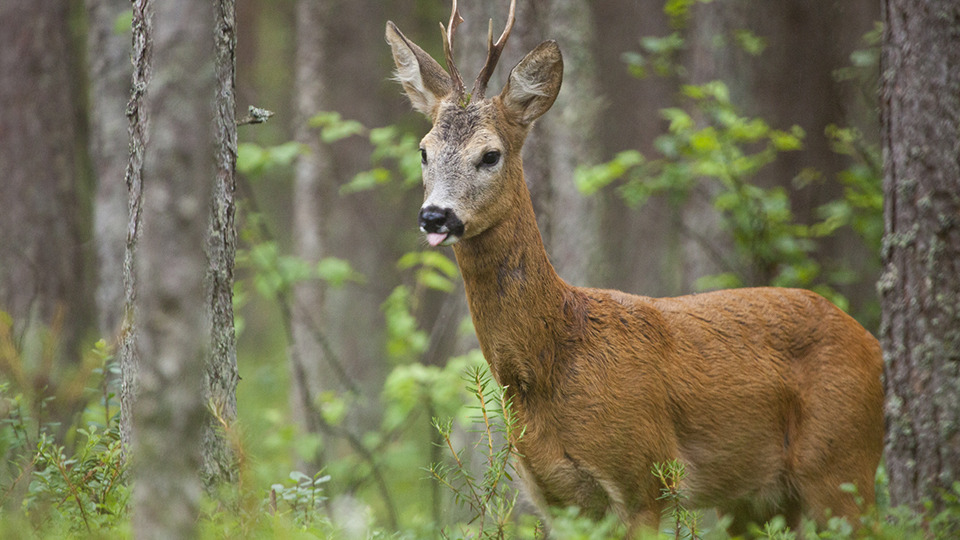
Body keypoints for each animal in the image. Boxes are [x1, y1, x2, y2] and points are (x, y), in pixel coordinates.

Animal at [385, 1, 884, 536]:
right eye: (423, 150)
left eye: (490, 154)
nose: (435, 216)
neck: (552, 359)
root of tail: (874, 347)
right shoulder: (553, 496)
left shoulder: (643, 474)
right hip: (759, 498)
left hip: (842, 463)